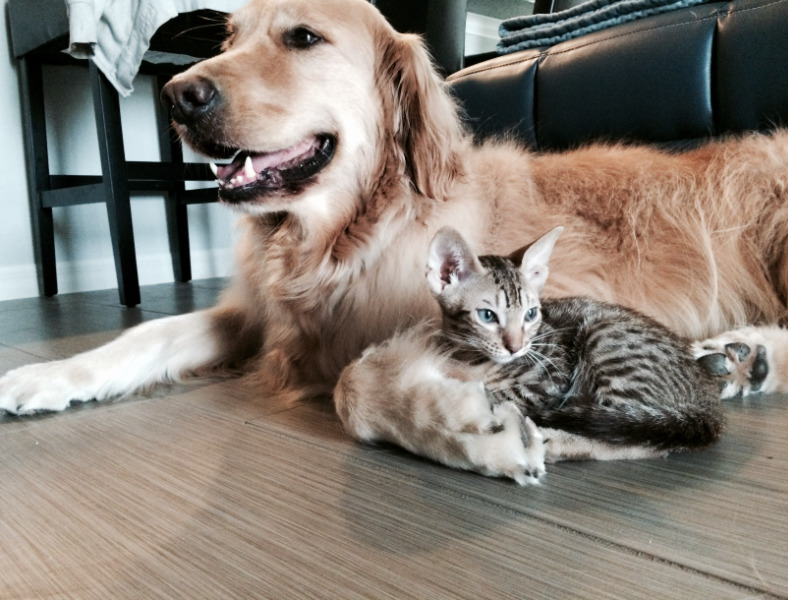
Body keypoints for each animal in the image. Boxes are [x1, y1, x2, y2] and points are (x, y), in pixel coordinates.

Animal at [336, 225, 724, 482]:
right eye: (487, 316)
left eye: (531, 314)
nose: (516, 345)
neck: (469, 356)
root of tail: (706, 398)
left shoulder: (549, 380)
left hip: (606, 340)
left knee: (641, 437)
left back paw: (556, 441)